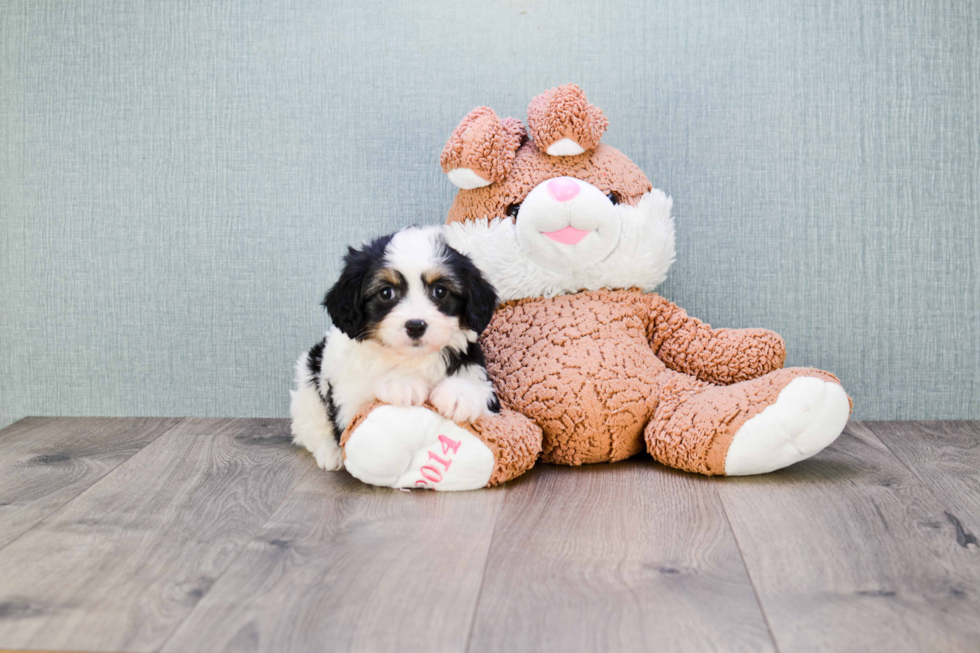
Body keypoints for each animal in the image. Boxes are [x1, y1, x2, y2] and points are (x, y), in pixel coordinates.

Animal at [290, 224, 506, 468]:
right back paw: (329, 452)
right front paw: (401, 383)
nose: (415, 325)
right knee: (310, 427)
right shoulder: (348, 399)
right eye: (386, 293)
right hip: (308, 384)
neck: (412, 358)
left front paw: (460, 394)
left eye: (440, 291)